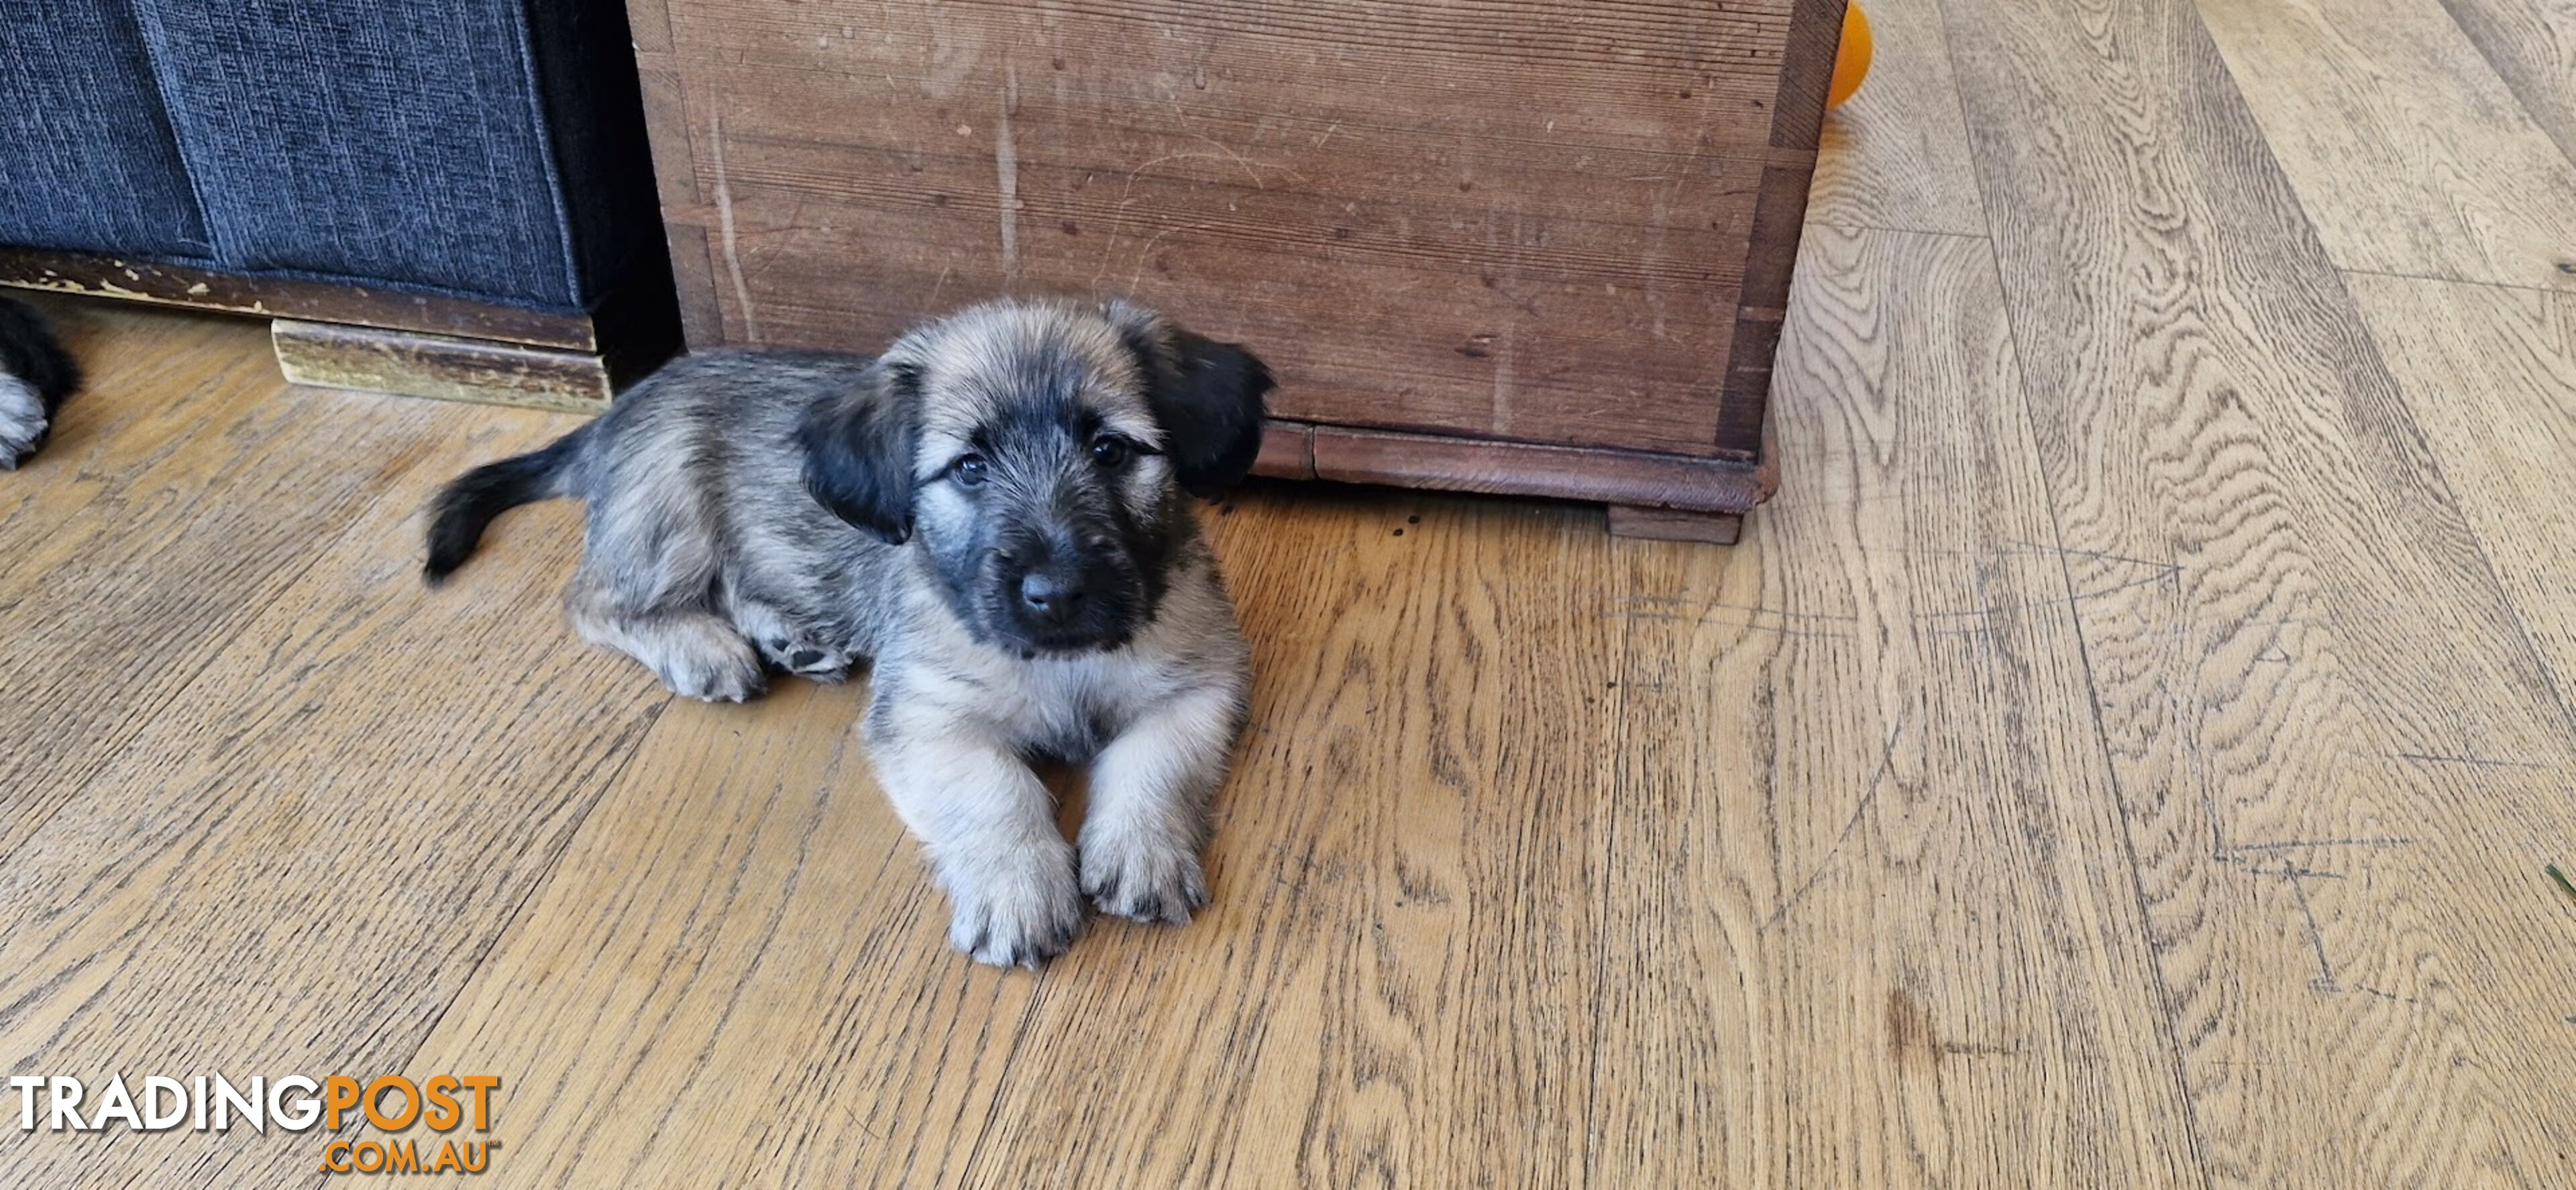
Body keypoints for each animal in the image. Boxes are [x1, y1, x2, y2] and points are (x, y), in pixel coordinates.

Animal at [427, 297, 1272, 968]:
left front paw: (1142, 849)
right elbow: (996, 792)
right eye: (970, 468)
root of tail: (614, 411)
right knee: (596, 600)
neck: (1056, 662)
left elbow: (1154, 763)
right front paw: (1017, 889)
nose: (1056, 591)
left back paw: (790, 637)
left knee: (734, 583)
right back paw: (702, 647)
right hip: (669, 511)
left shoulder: (1199, 680)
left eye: (1110, 449)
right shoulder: (929, 719)